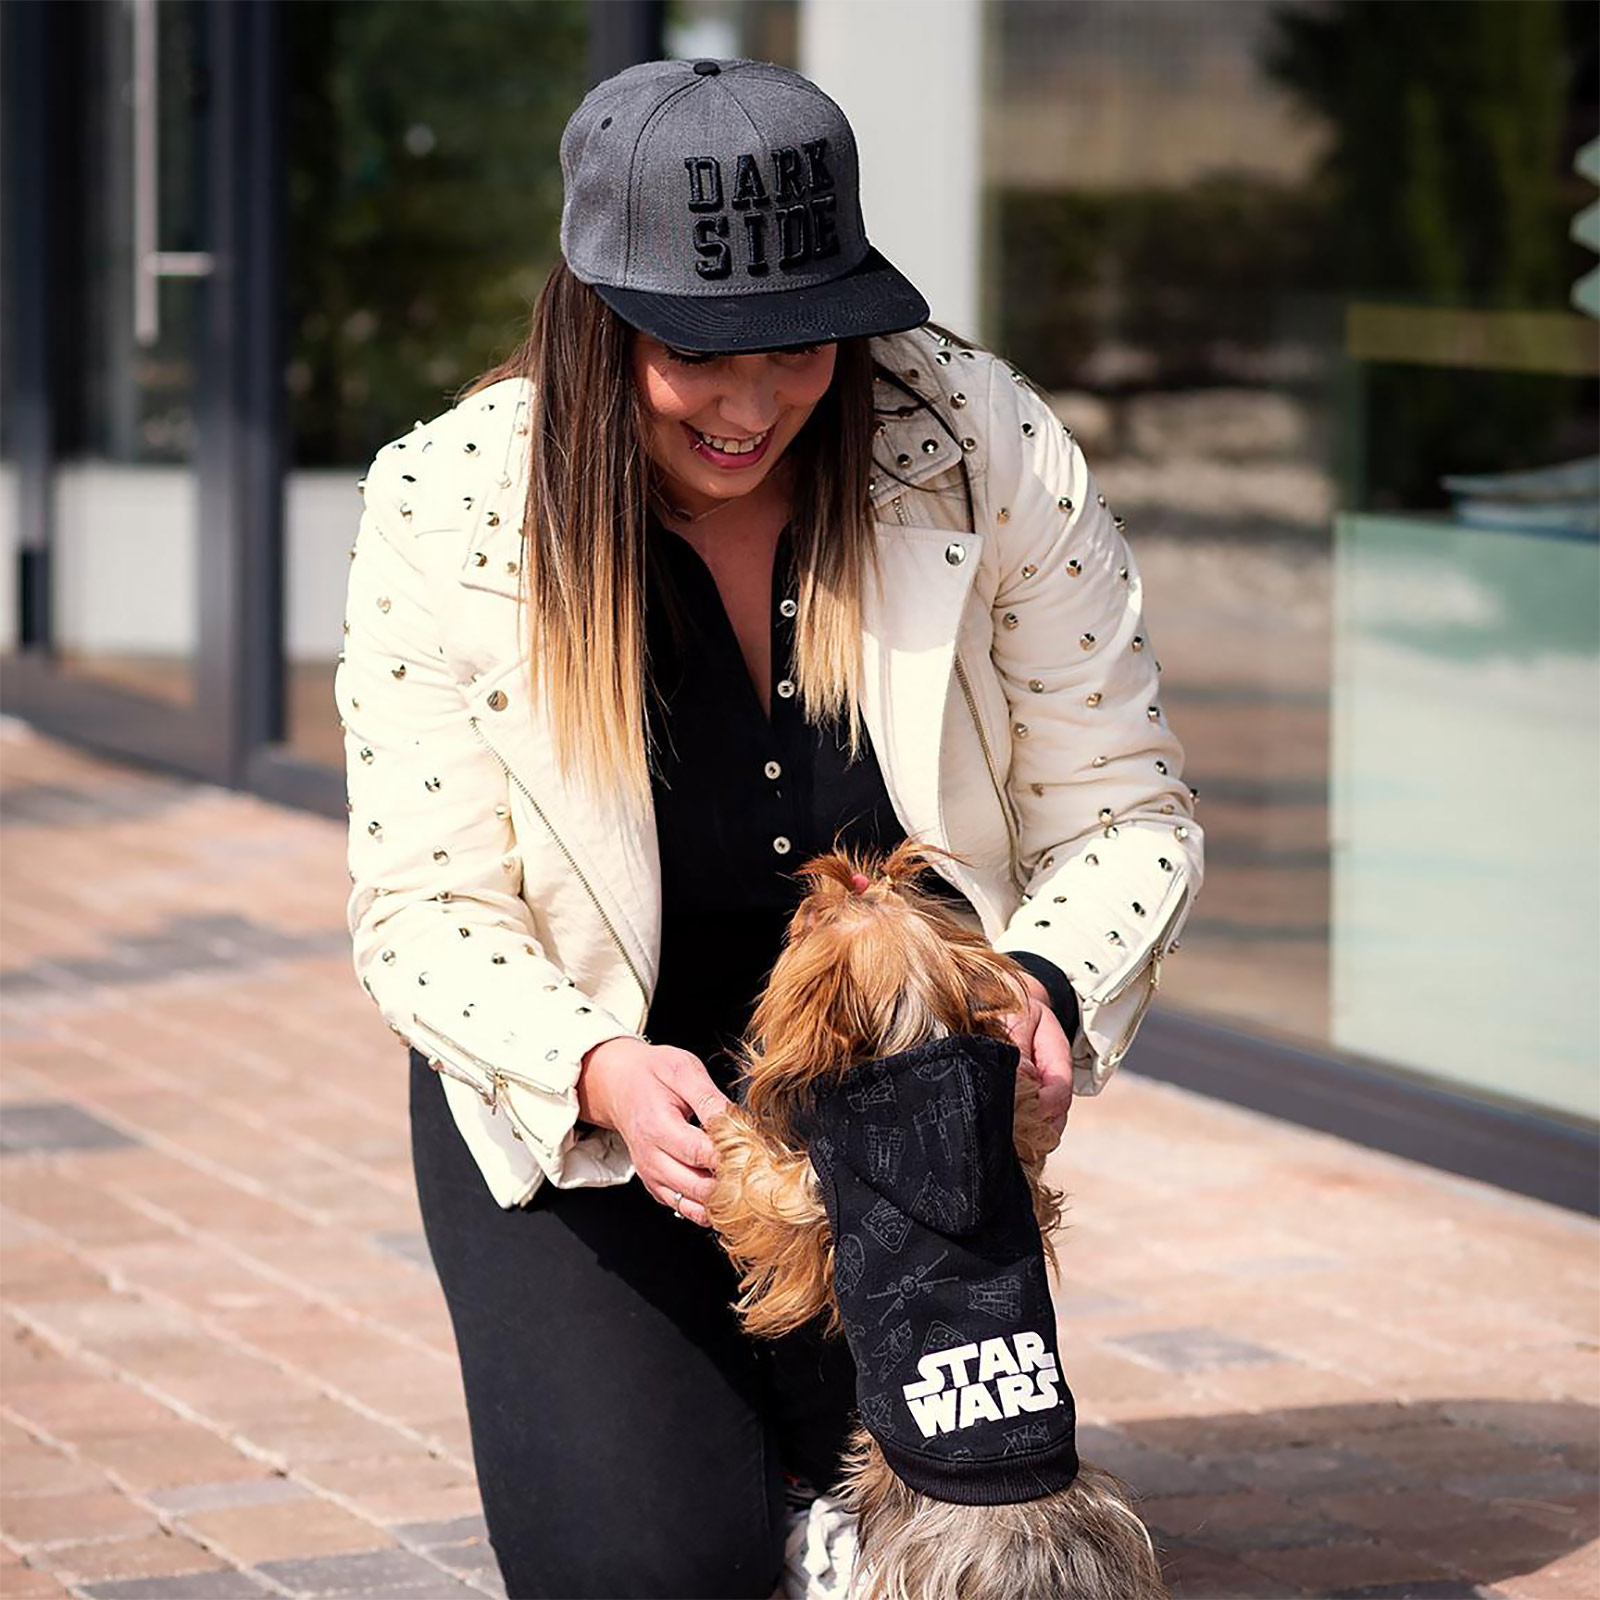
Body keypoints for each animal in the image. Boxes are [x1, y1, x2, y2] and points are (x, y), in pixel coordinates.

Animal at [707, 844, 1171, 1600]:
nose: (814, 878)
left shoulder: (810, 1193)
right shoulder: (1016, 1145)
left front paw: (721, 1123)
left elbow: (760, 1192)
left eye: (811, 920)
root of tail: (1025, 1535)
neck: (916, 1045)